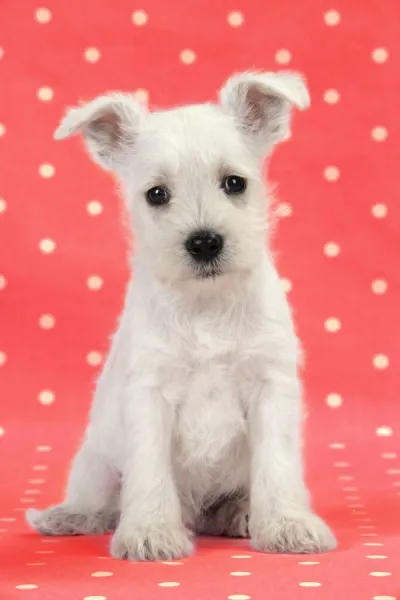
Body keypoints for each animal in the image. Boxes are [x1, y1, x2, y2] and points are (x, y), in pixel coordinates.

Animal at [26, 71, 336, 564]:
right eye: (157, 194)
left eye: (234, 182)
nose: (204, 242)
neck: (205, 304)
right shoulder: (150, 393)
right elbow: (150, 470)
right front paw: (151, 532)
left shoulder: (270, 388)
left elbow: (277, 464)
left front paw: (288, 524)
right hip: (95, 460)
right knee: (100, 499)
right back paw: (70, 517)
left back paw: (241, 513)